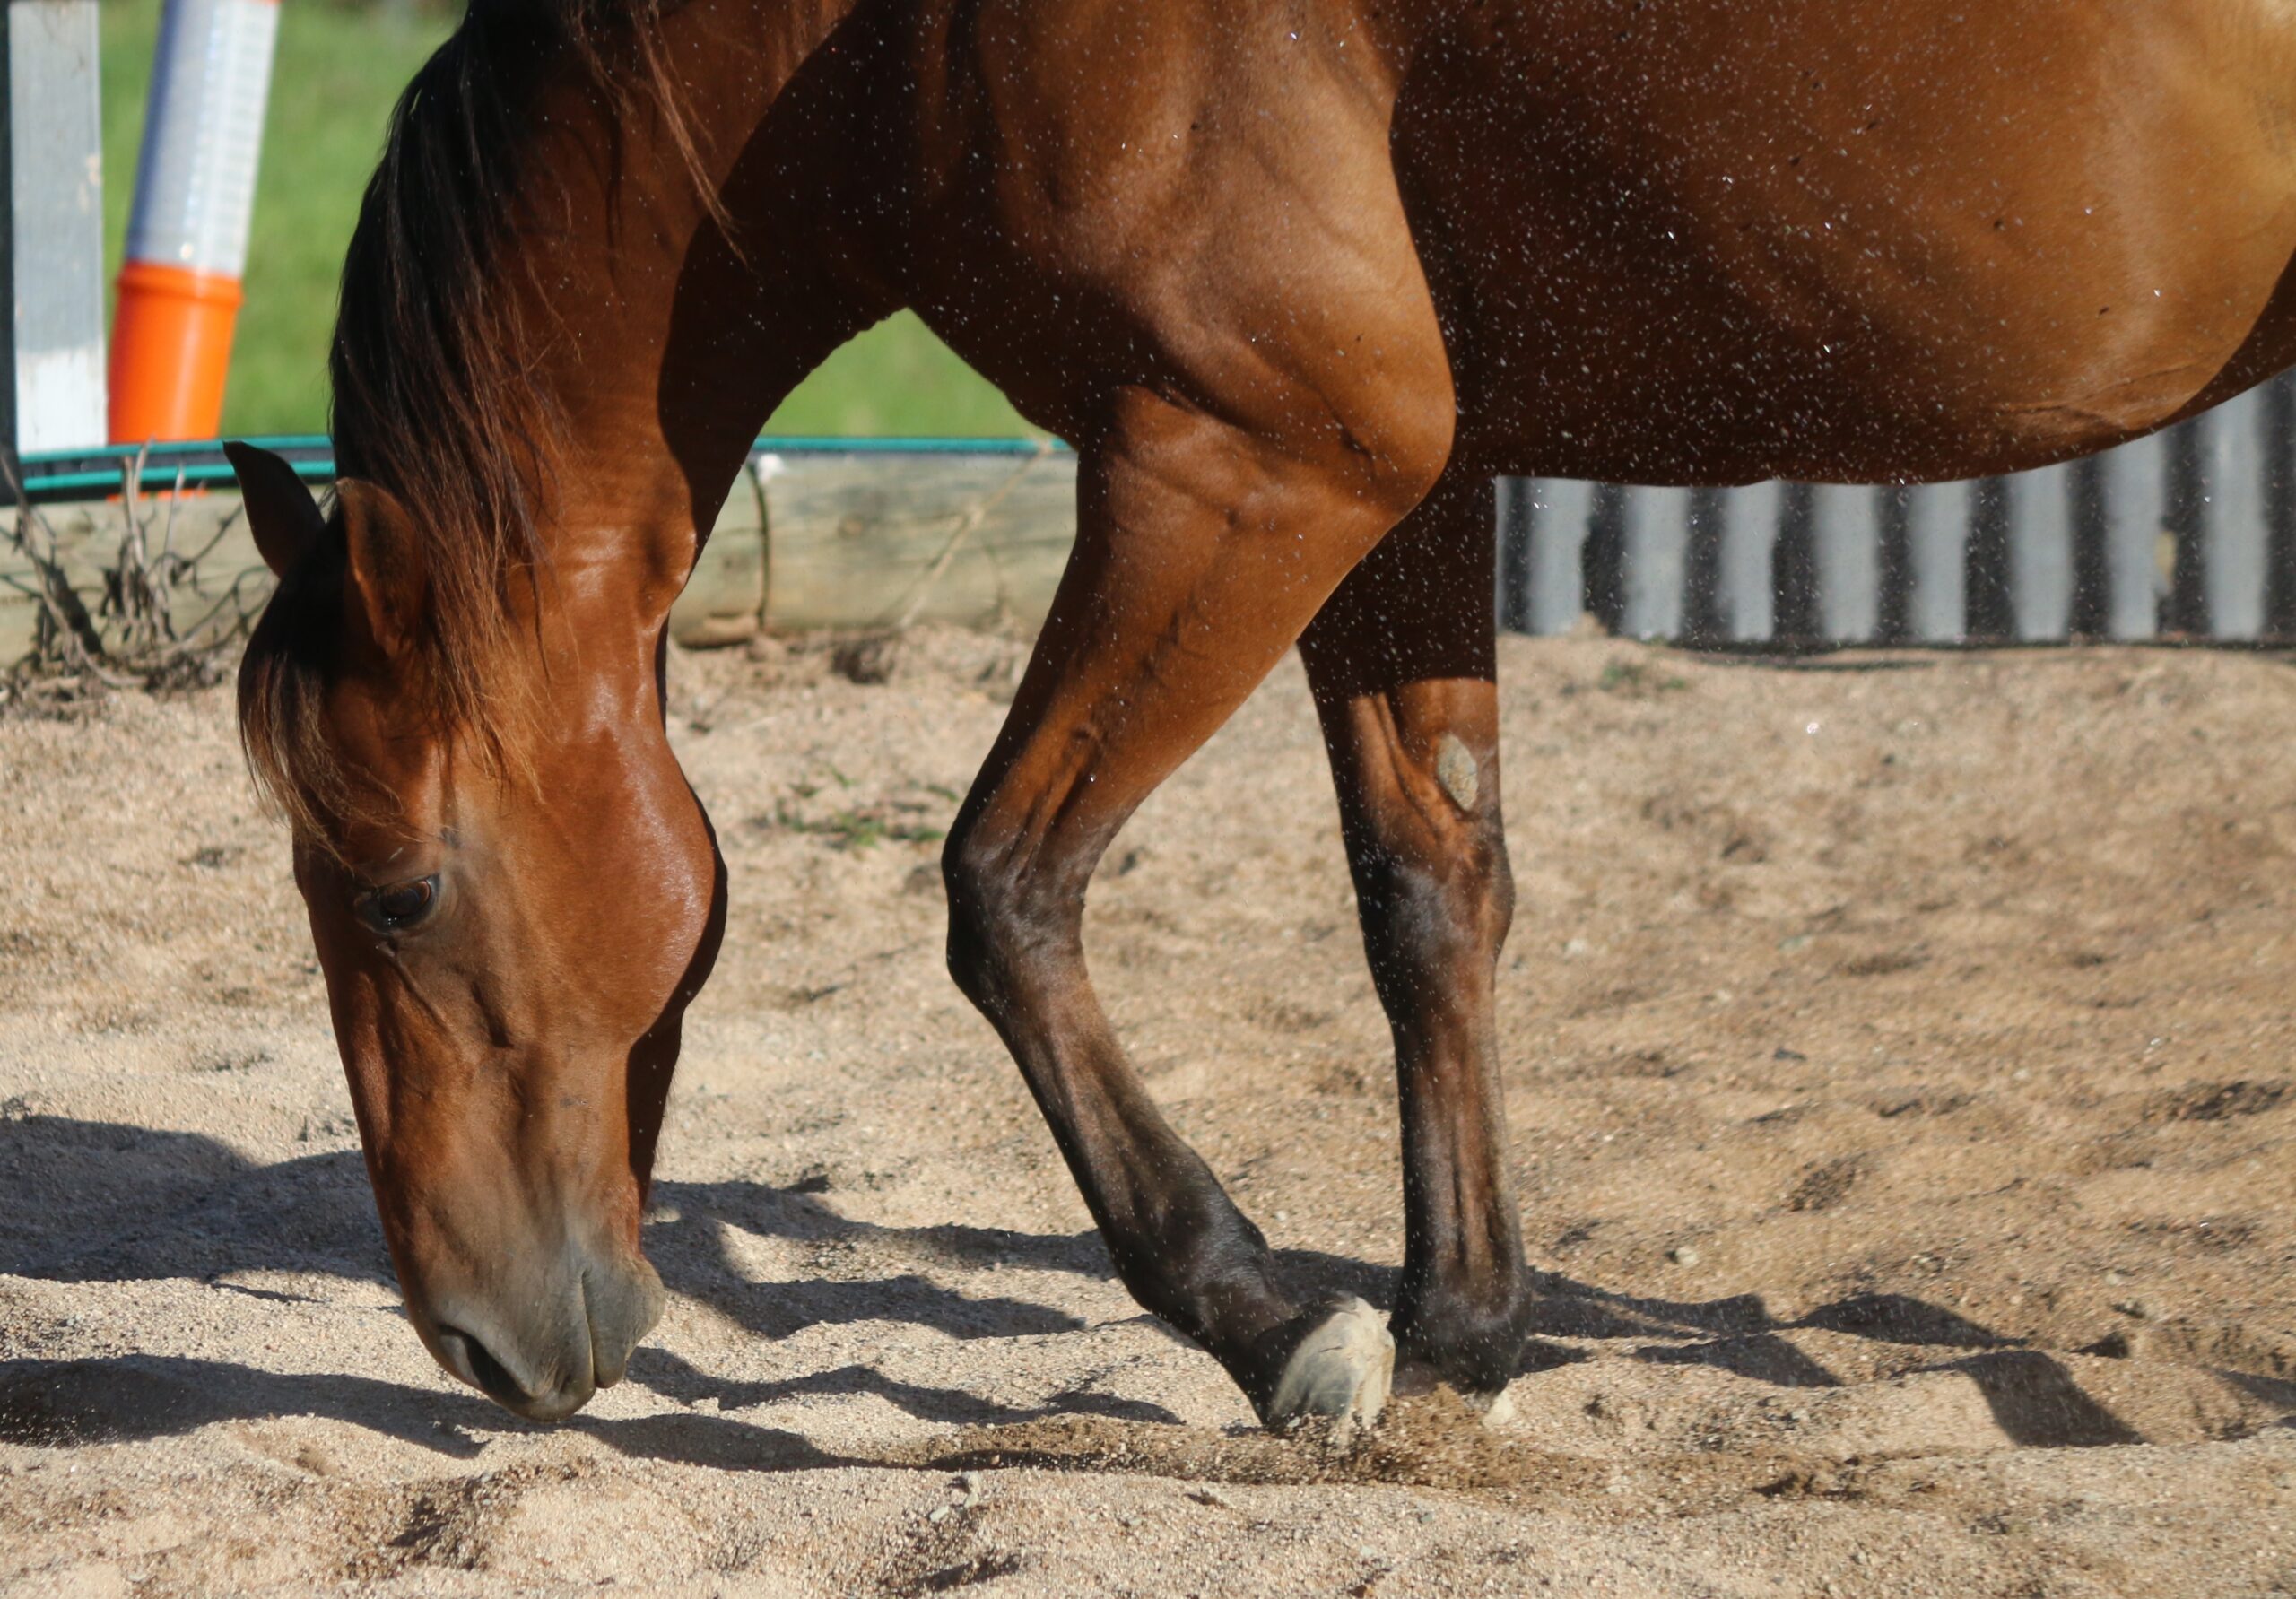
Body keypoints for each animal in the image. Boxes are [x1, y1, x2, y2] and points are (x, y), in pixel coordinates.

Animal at [228, 0, 2296, 1424]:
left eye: (399, 892)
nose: (476, 1337)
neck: (884, 36)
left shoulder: (1253, 467)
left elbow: (1005, 888)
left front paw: (1266, 1318)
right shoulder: (1399, 483)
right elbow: (1430, 892)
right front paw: (1461, 1322)